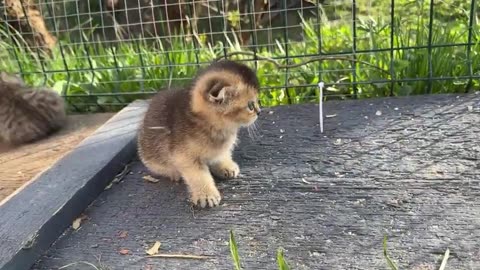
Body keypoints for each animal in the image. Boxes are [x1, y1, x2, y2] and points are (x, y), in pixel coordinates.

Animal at [137, 60, 260, 209]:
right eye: (250, 105)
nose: (259, 112)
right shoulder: (184, 157)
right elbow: (199, 176)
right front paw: (206, 195)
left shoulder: (218, 150)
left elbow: (219, 156)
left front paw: (225, 166)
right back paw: (174, 173)